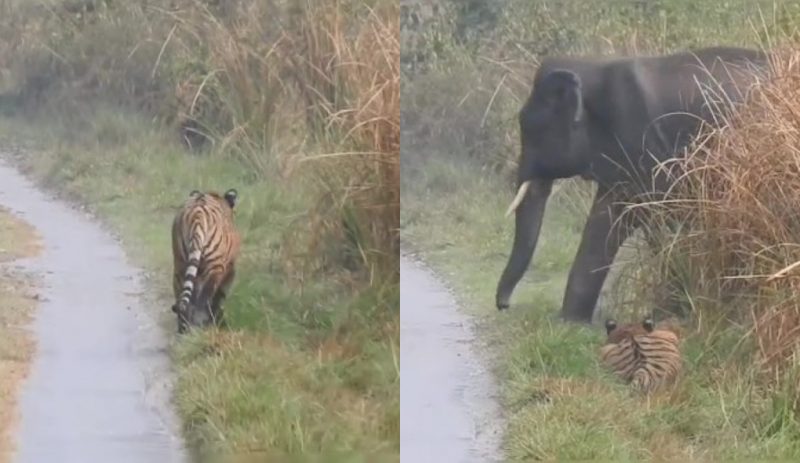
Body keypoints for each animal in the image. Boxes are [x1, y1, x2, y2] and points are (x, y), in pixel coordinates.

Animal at [171, 188, 241, 334]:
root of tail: (198, 213)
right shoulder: (230, 269)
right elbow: (219, 296)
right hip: (215, 267)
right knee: (204, 300)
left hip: (180, 264)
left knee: (182, 298)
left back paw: (183, 330)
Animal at [494, 46, 768, 322]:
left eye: (532, 128)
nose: (504, 305)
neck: (592, 69)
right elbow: (606, 220)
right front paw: (570, 322)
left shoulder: (647, 146)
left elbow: (657, 220)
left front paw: (672, 312)